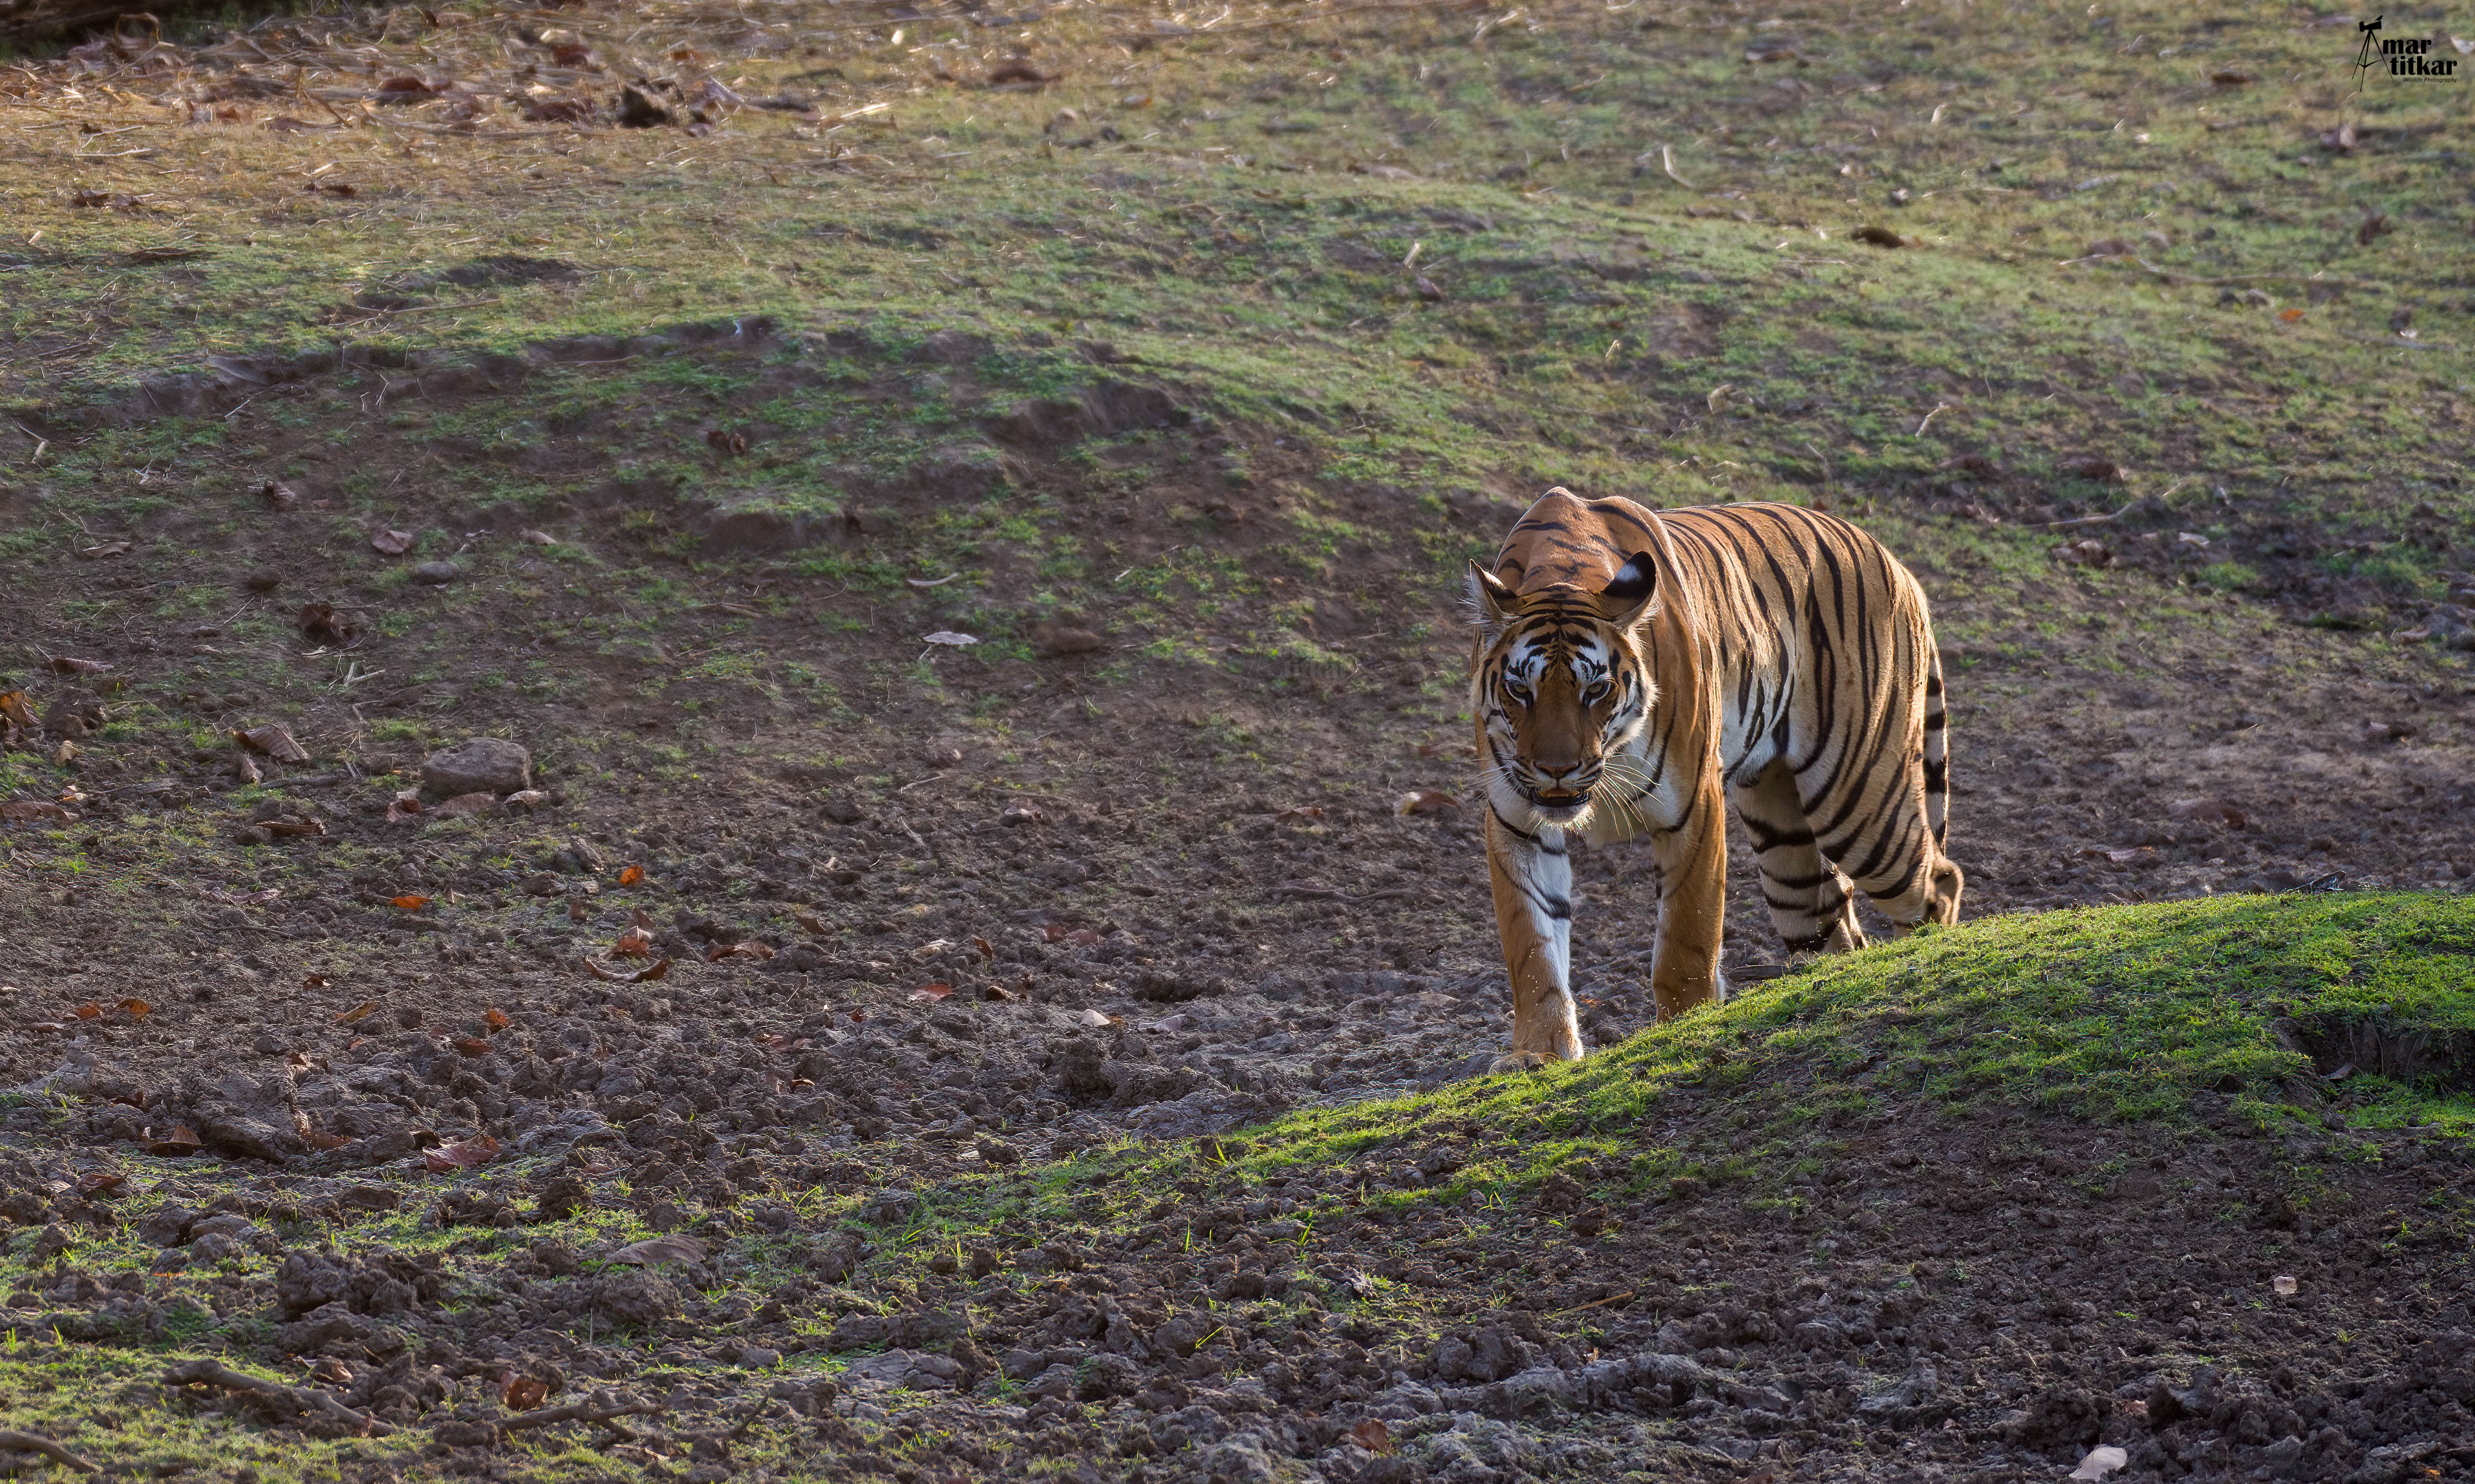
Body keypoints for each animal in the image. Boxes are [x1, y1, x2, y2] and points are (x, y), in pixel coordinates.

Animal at [1467, 488, 1963, 1068]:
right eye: (1520, 689)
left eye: (1598, 689)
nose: (1557, 769)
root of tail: (1899, 565)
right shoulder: (1517, 819)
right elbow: (1531, 943)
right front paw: (1539, 1052)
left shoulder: (1694, 806)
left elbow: (1686, 932)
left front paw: (1685, 1025)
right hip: (1786, 844)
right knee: (1835, 923)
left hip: (1859, 805)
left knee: (1939, 880)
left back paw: (1919, 966)